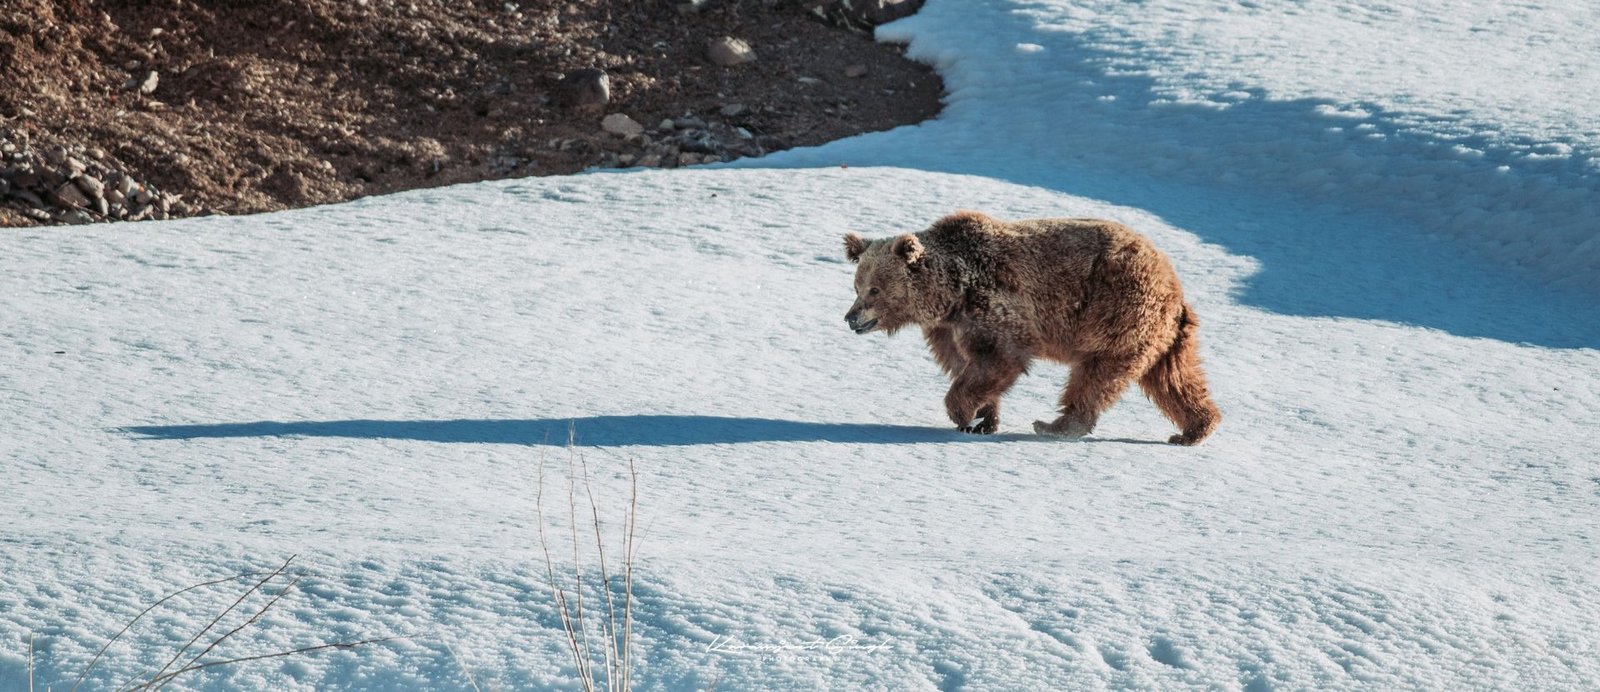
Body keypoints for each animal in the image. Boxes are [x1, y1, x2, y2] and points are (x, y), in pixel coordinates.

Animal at [844, 211, 1216, 445]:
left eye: (874, 289)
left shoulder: (993, 305)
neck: (950, 293)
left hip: (1116, 308)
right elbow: (966, 365)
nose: (851, 318)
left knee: (1096, 374)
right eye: (857, 286)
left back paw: (1055, 424)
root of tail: (1172, 282)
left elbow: (998, 358)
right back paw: (1194, 429)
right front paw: (984, 419)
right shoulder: (947, 328)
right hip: (1163, 334)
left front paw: (963, 413)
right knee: (1174, 379)